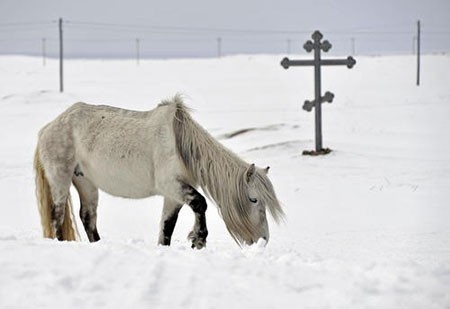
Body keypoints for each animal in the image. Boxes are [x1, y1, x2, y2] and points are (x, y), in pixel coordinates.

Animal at [33, 95, 284, 247]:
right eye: (253, 199)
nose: (263, 239)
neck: (181, 146)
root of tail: (48, 128)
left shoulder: (173, 196)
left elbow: (166, 228)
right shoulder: (172, 186)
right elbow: (201, 204)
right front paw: (198, 240)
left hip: (86, 183)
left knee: (87, 217)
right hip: (61, 179)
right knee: (57, 217)